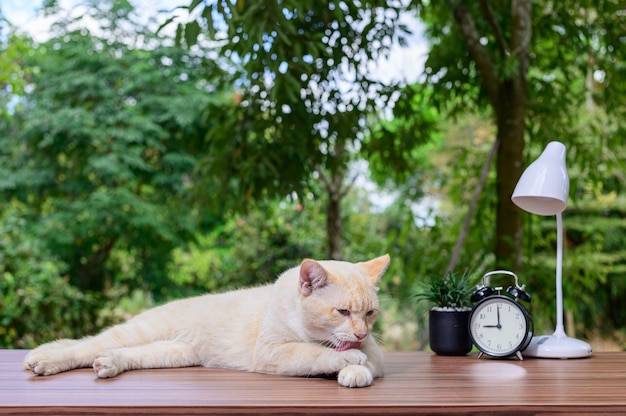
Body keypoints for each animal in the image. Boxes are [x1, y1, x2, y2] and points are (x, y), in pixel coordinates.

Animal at [24, 255, 388, 388]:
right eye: (342, 312)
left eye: (370, 313)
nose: (360, 331)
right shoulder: (272, 352)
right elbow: (315, 353)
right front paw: (347, 359)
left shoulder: (375, 351)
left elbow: (368, 361)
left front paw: (355, 370)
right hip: (139, 332)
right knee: (83, 345)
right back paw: (42, 359)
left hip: (173, 354)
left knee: (114, 353)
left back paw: (109, 364)